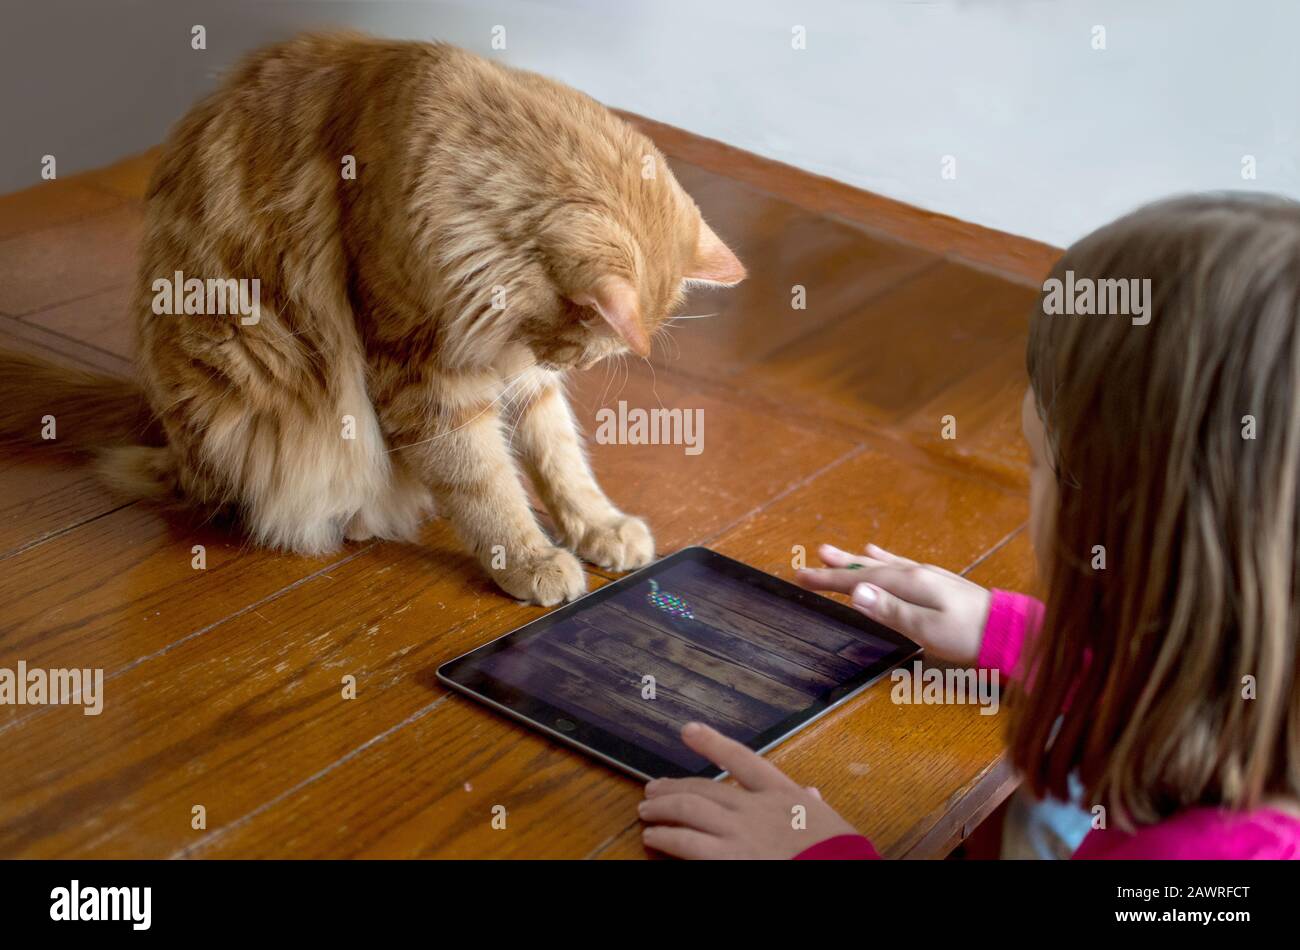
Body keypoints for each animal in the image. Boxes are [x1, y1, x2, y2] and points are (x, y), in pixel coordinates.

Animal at [0, 37, 743, 605]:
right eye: (586, 348)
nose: (565, 362)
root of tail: (154, 416)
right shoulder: (422, 372)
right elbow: (485, 483)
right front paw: (530, 559)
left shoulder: (516, 369)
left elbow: (561, 458)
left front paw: (599, 527)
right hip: (242, 370)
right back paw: (356, 516)